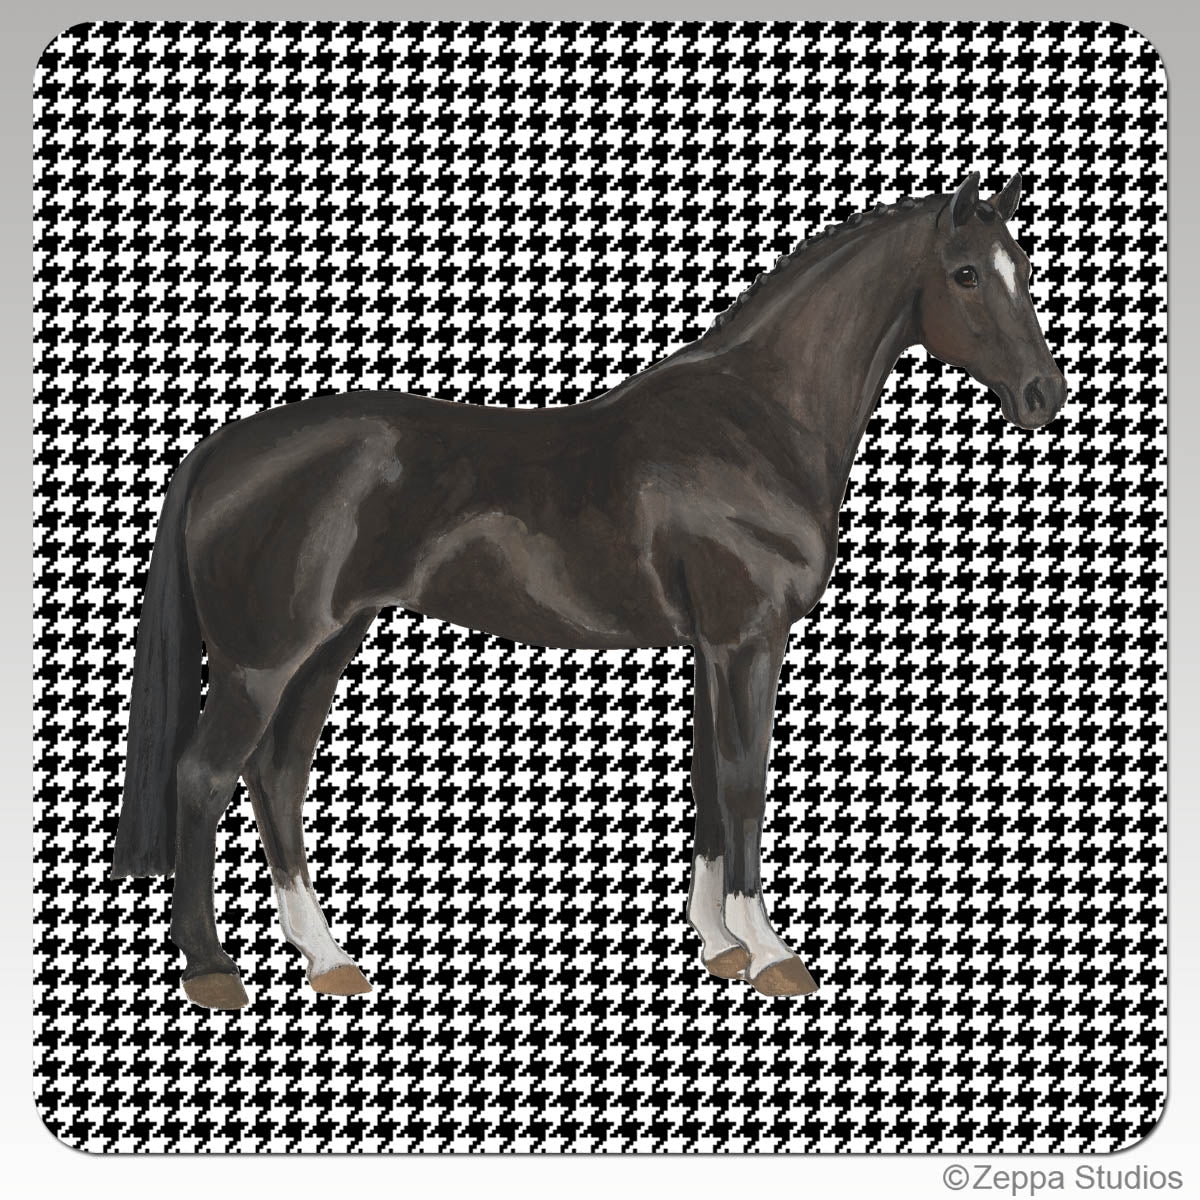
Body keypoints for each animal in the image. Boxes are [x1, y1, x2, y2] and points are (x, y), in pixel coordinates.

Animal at [112, 171, 1065, 1009]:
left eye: (1020, 266)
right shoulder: (747, 641)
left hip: (322, 649)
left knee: (274, 777)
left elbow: (709, 784)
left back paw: (327, 958)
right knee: (204, 776)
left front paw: (719, 945)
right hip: (261, 663)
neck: (754, 425)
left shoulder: (710, 649)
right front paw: (768, 951)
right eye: (967, 274)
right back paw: (213, 971)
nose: (1043, 395)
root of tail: (222, 449)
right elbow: (743, 780)